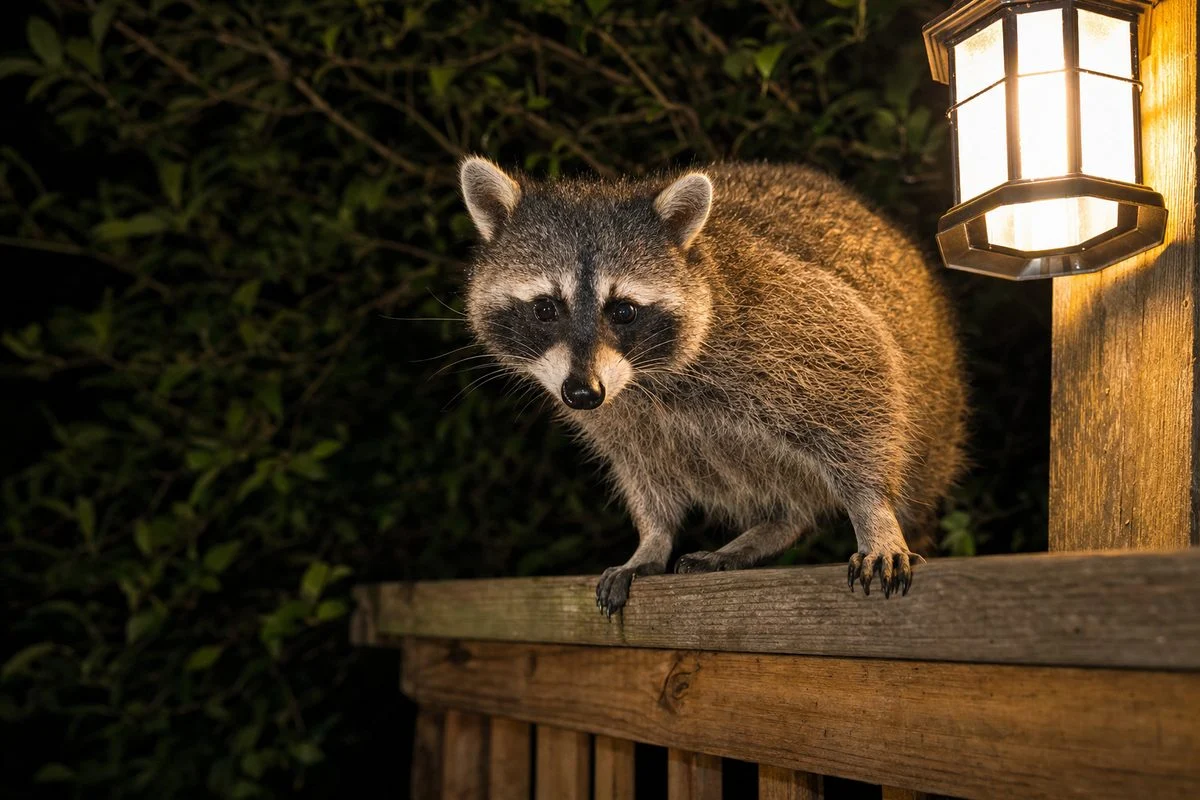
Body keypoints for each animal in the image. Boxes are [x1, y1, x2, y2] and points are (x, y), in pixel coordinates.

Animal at [459, 157, 967, 616]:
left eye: (623, 311)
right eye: (546, 309)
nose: (582, 394)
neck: (646, 379)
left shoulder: (777, 315)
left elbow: (862, 370)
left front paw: (874, 513)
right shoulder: (622, 414)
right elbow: (643, 469)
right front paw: (653, 539)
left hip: (937, 417)